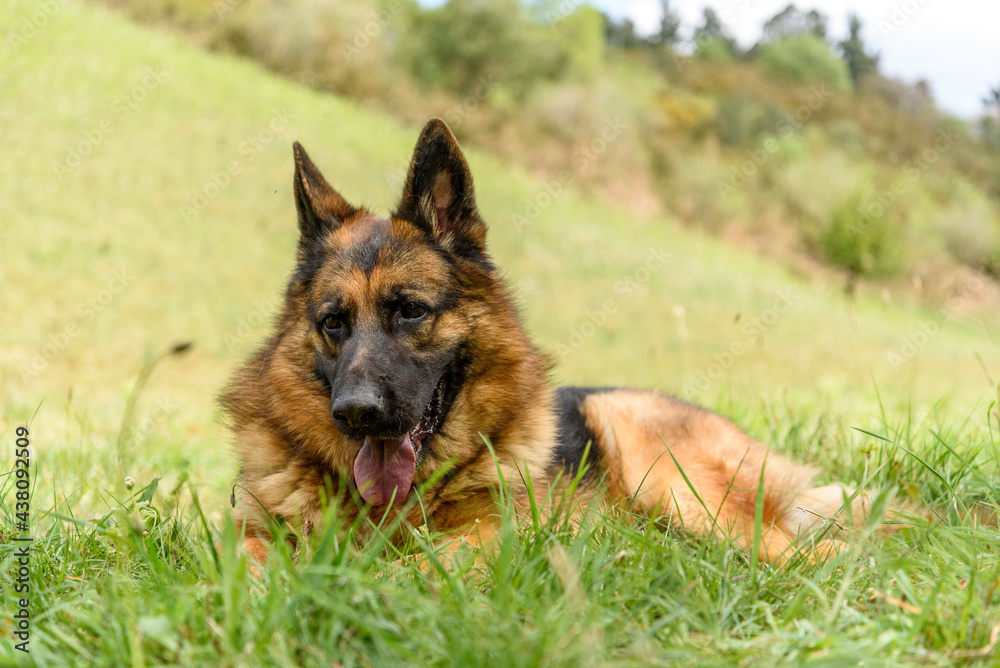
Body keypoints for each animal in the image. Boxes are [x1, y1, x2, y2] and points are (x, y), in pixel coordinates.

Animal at [223, 118, 872, 564]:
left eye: (410, 311)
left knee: (819, 554)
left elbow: (405, 569)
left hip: (662, 472)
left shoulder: (486, 541)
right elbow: (245, 560)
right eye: (333, 322)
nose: (356, 413)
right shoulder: (249, 531)